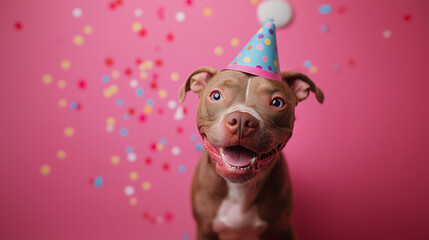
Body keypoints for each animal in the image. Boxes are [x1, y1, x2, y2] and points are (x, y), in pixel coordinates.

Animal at [179, 66, 322, 240]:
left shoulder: (283, 229)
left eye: (277, 102)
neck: (239, 189)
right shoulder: (205, 230)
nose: (241, 120)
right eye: (216, 95)